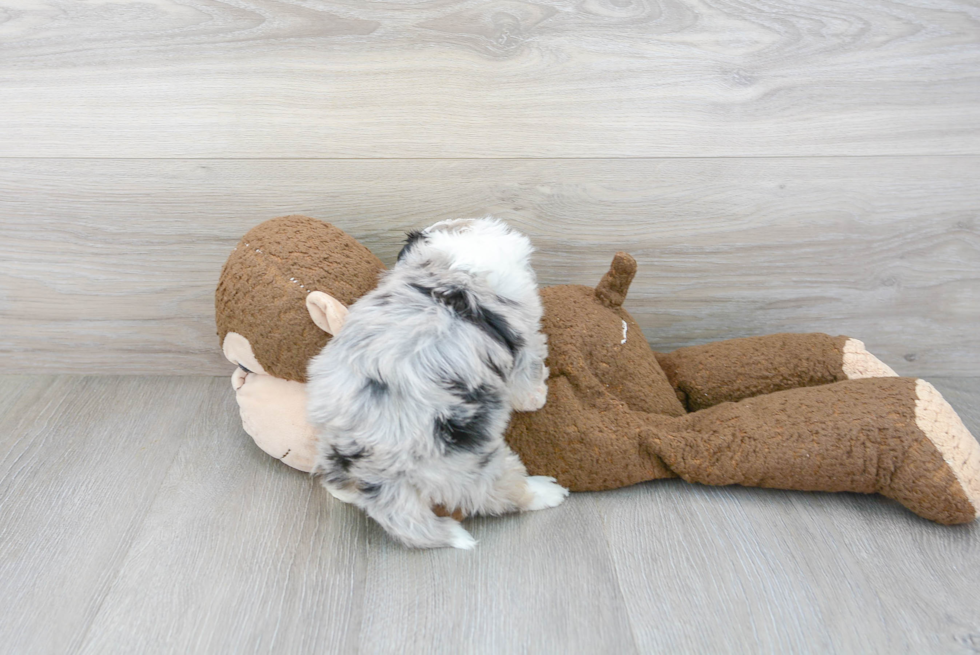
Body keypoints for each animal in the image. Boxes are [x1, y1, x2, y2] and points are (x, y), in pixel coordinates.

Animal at [306, 218, 568, 552]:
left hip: (332, 450)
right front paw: (537, 397)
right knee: (496, 492)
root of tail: (374, 460)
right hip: (471, 462)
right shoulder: (526, 339)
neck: (451, 270)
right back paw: (544, 492)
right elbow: (529, 375)